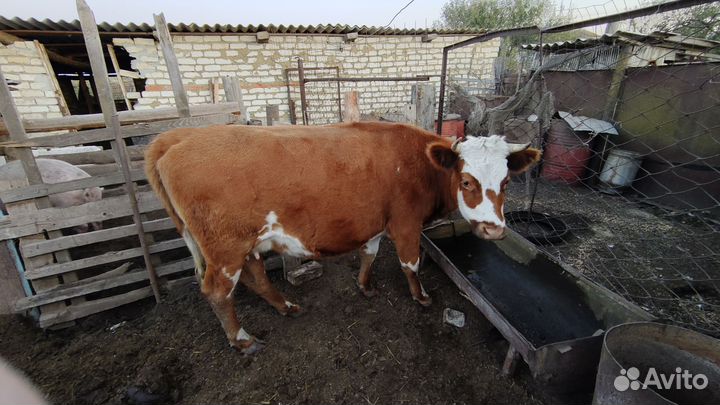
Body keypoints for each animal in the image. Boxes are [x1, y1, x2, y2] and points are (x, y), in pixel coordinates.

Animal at [145, 122, 541, 355]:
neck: (420, 164)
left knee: (257, 276)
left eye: (507, 181)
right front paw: (421, 297)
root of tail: (176, 136)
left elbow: (369, 254)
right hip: (225, 249)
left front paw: (365, 286)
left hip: (247, 243)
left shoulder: (376, 222)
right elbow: (410, 263)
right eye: (467, 181)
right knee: (218, 292)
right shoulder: (405, 222)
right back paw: (242, 339)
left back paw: (285, 306)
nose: (494, 228)